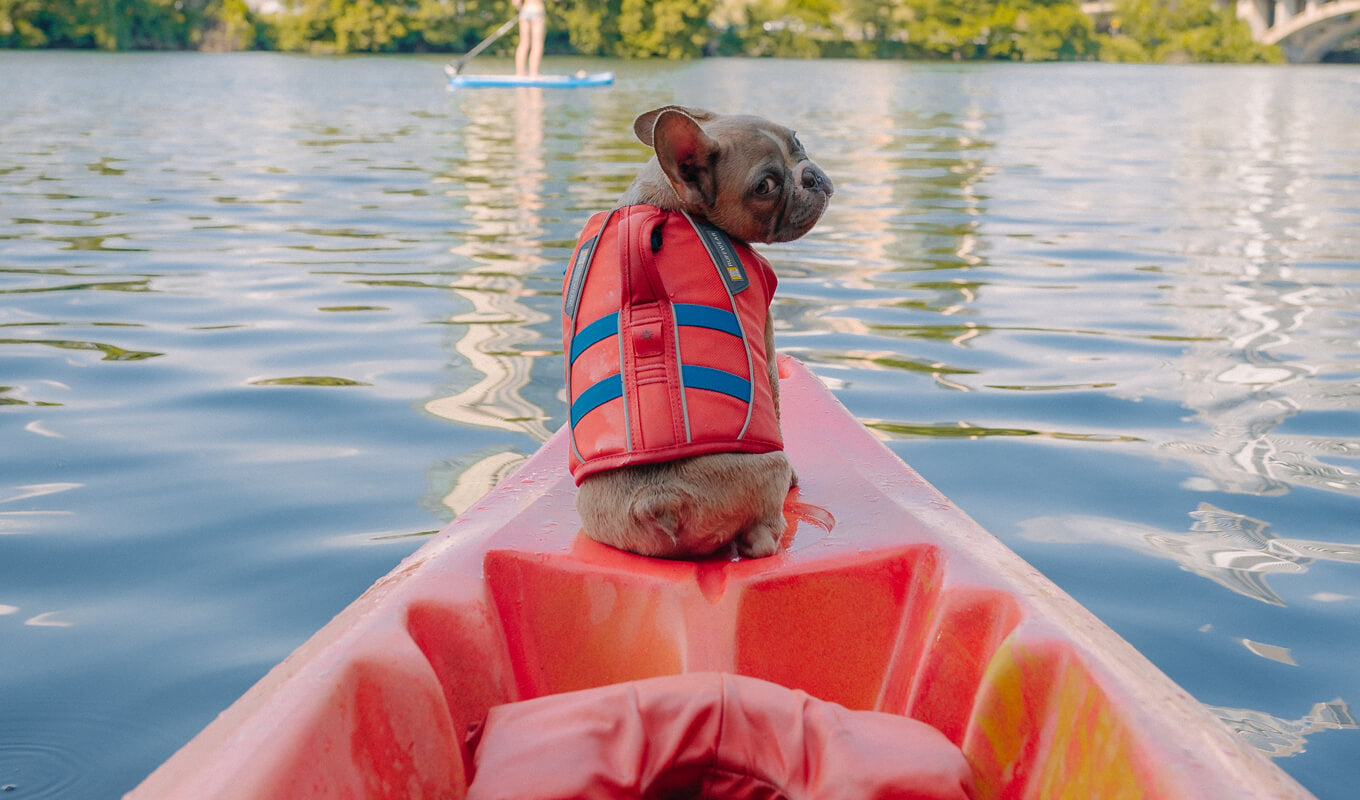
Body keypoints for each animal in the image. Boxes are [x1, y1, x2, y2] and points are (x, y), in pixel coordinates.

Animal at [560, 104, 832, 555]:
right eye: (765, 186)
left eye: (799, 143)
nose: (809, 174)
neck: (665, 201)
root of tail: (660, 499)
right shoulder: (766, 336)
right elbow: (776, 401)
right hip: (768, 468)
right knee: (760, 537)